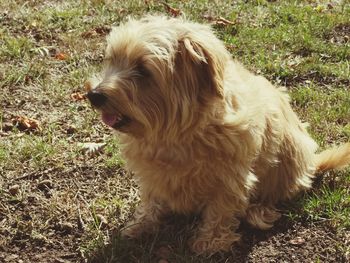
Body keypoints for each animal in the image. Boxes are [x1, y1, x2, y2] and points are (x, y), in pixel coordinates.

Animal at [85, 15, 350, 255]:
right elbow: (152, 199)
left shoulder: (230, 177)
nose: (94, 95)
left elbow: (220, 209)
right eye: (112, 59)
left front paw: (211, 241)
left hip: (288, 155)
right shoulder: (152, 174)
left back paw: (259, 211)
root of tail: (311, 163)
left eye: (142, 70)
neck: (176, 133)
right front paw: (142, 223)